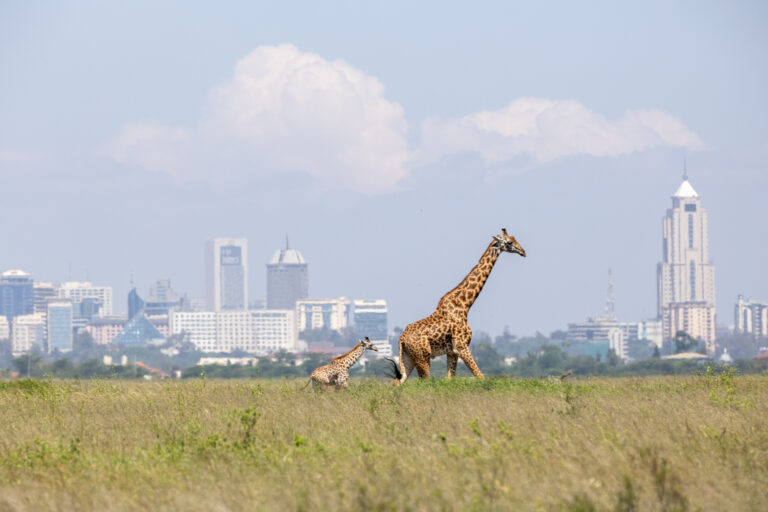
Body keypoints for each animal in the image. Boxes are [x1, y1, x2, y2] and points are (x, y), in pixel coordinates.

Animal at [392, 229, 524, 384]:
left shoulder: (452, 352)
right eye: (509, 242)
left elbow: (451, 378)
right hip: (423, 357)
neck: (465, 305)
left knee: (398, 382)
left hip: (408, 358)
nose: (523, 251)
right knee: (424, 380)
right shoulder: (462, 346)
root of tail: (401, 339)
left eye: (514, 239)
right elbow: (480, 376)